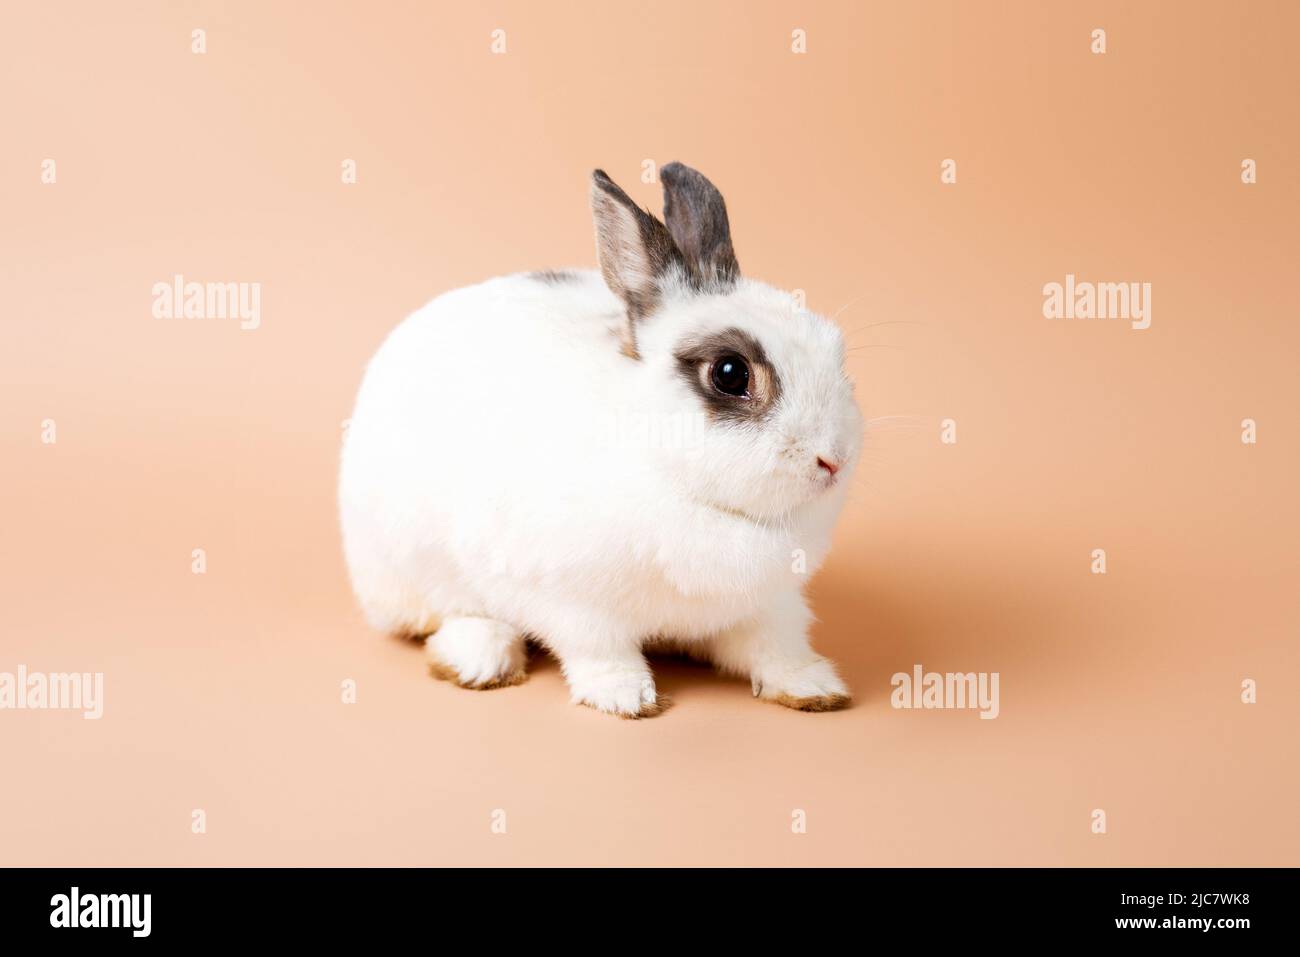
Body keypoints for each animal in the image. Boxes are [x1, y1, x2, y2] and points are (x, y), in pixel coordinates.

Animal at [338, 162, 863, 717]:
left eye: (836, 350)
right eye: (729, 373)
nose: (834, 459)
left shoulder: (771, 605)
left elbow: (778, 646)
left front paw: (814, 689)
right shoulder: (575, 605)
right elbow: (600, 651)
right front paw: (626, 697)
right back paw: (481, 659)